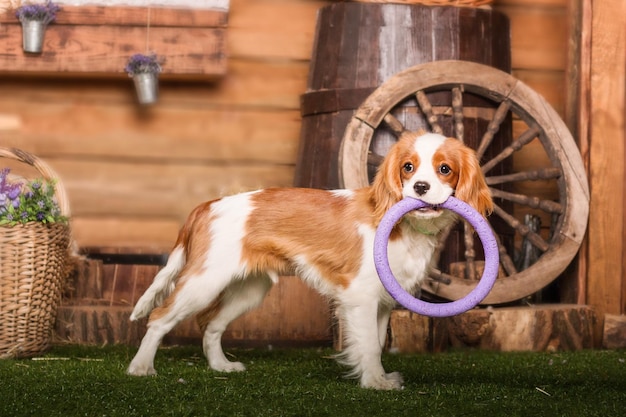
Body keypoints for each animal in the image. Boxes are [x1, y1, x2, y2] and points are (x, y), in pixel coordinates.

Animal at [124, 131, 490, 390]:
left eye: (445, 169)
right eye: (408, 167)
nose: (421, 187)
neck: (406, 228)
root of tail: (207, 205)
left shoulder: (383, 301)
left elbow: (376, 341)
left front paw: (379, 377)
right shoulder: (361, 297)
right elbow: (370, 345)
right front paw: (374, 383)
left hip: (248, 290)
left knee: (211, 324)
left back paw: (221, 367)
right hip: (204, 281)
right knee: (160, 317)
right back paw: (140, 368)